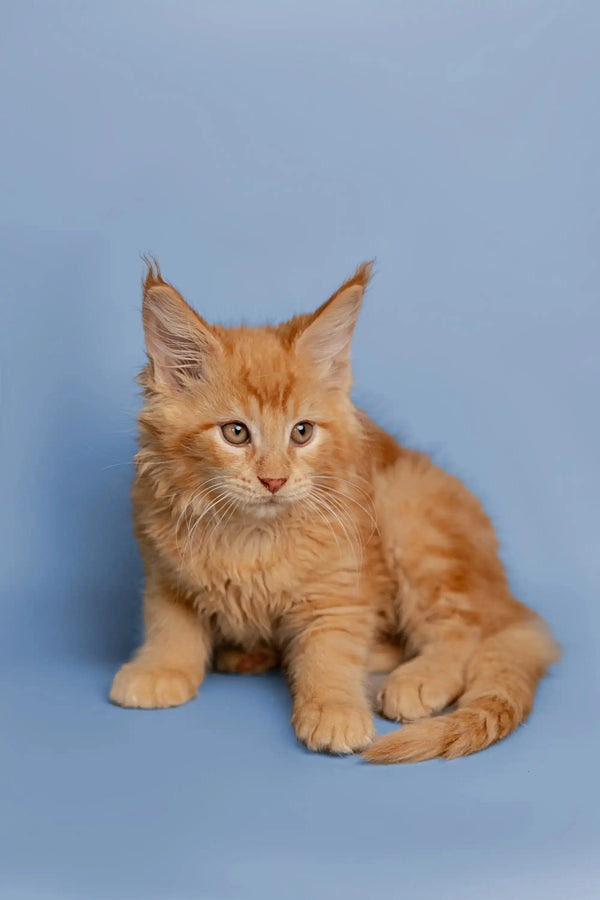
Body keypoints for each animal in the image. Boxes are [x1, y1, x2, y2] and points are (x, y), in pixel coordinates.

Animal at [110, 260, 560, 760]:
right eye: (236, 433)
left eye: (302, 432)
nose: (274, 480)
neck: (251, 535)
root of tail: (507, 599)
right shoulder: (162, 569)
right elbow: (170, 625)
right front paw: (161, 668)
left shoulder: (340, 589)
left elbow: (330, 655)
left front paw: (334, 710)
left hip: (413, 520)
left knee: (464, 629)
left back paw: (416, 678)